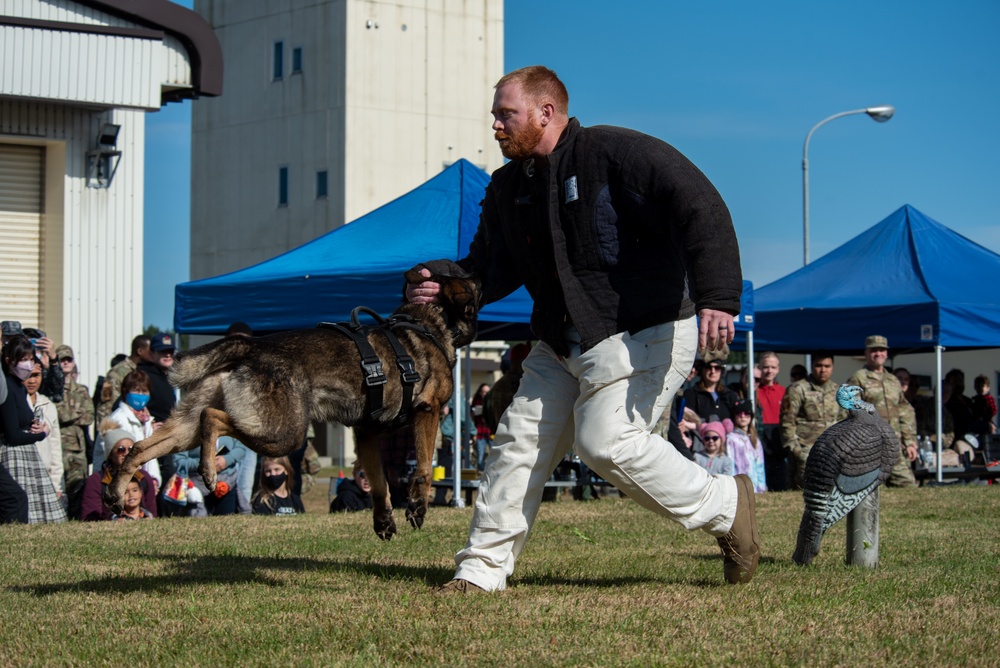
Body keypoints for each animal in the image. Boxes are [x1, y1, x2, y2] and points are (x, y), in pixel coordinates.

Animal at [103, 264, 478, 540]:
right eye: (476, 290)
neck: (423, 320)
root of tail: (251, 346)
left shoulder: (366, 432)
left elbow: (379, 484)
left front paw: (385, 521)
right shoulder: (427, 411)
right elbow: (424, 467)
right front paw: (417, 506)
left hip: (187, 429)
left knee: (140, 448)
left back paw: (116, 491)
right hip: (285, 433)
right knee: (213, 418)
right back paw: (208, 471)